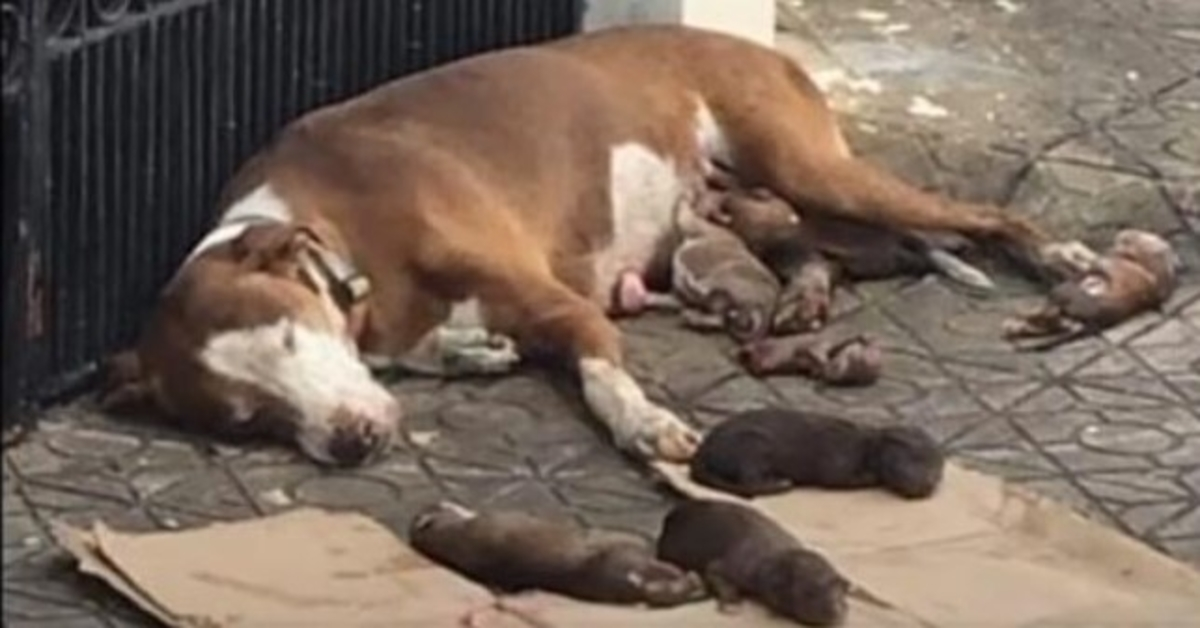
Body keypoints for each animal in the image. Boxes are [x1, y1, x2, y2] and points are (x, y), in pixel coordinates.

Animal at [105, 24, 1060, 465]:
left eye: (291, 340)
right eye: (247, 422)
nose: (350, 442)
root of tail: (758, 48)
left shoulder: (562, 305)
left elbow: (603, 376)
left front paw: (645, 423)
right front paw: (471, 353)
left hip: (809, 166)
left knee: (982, 217)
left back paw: (1064, 266)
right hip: (785, 203)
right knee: (844, 245)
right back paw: (805, 297)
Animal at [408, 499, 705, 607]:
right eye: (438, 508)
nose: (441, 499)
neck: (458, 535)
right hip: (635, 553)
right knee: (673, 575)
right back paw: (693, 580)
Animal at [657, 499, 854, 624]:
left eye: (842, 587)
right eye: (808, 592)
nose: (836, 610)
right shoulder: (727, 566)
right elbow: (717, 573)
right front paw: (731, 604)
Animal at [691, 408, 940, 501]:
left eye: (936, 471)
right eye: (912, 460)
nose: (926, 483)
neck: (865, 447)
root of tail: (702, 450)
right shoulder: (837, 462)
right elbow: (842, 478)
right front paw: (870, 476)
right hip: (751, 444)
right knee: (749, 481)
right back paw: (778, 483)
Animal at [1003, 229, 1180, 350]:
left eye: (1130, 239)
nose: (1123, 233)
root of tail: (1094, 319)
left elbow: (1089, 260)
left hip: (1063, 294)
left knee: (1047, 314)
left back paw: (1017, 321)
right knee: (1052, 322)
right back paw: (1015, 327)